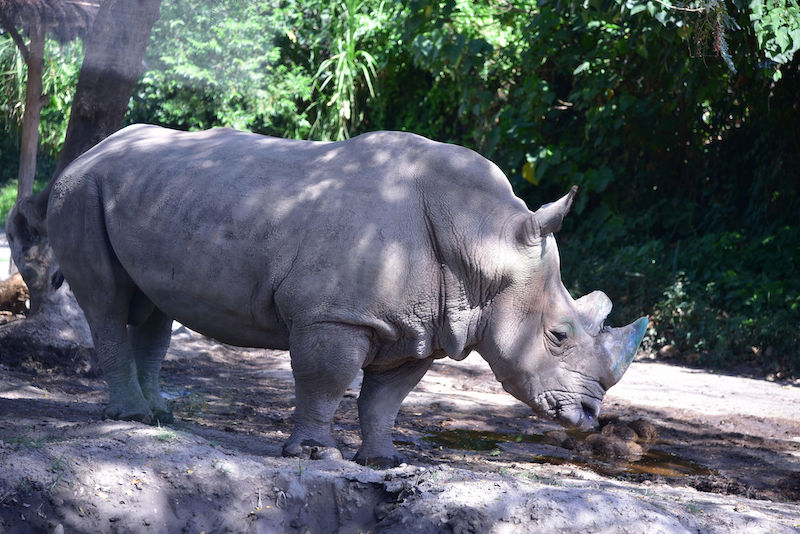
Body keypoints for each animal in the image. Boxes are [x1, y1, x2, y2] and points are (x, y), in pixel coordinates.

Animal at [44, 124, 647, 466]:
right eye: (557, 335)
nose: (589, 415)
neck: (484, 243)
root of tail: (92, 150)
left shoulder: (421, 328)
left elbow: (386, 399)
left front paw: (383, 463)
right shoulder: (335, 315)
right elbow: (327, 380)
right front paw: (316, 455)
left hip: (154, 192)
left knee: (152, 308)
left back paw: (160, 416)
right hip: (81, 190)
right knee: (106, 301)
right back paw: (131, 417)